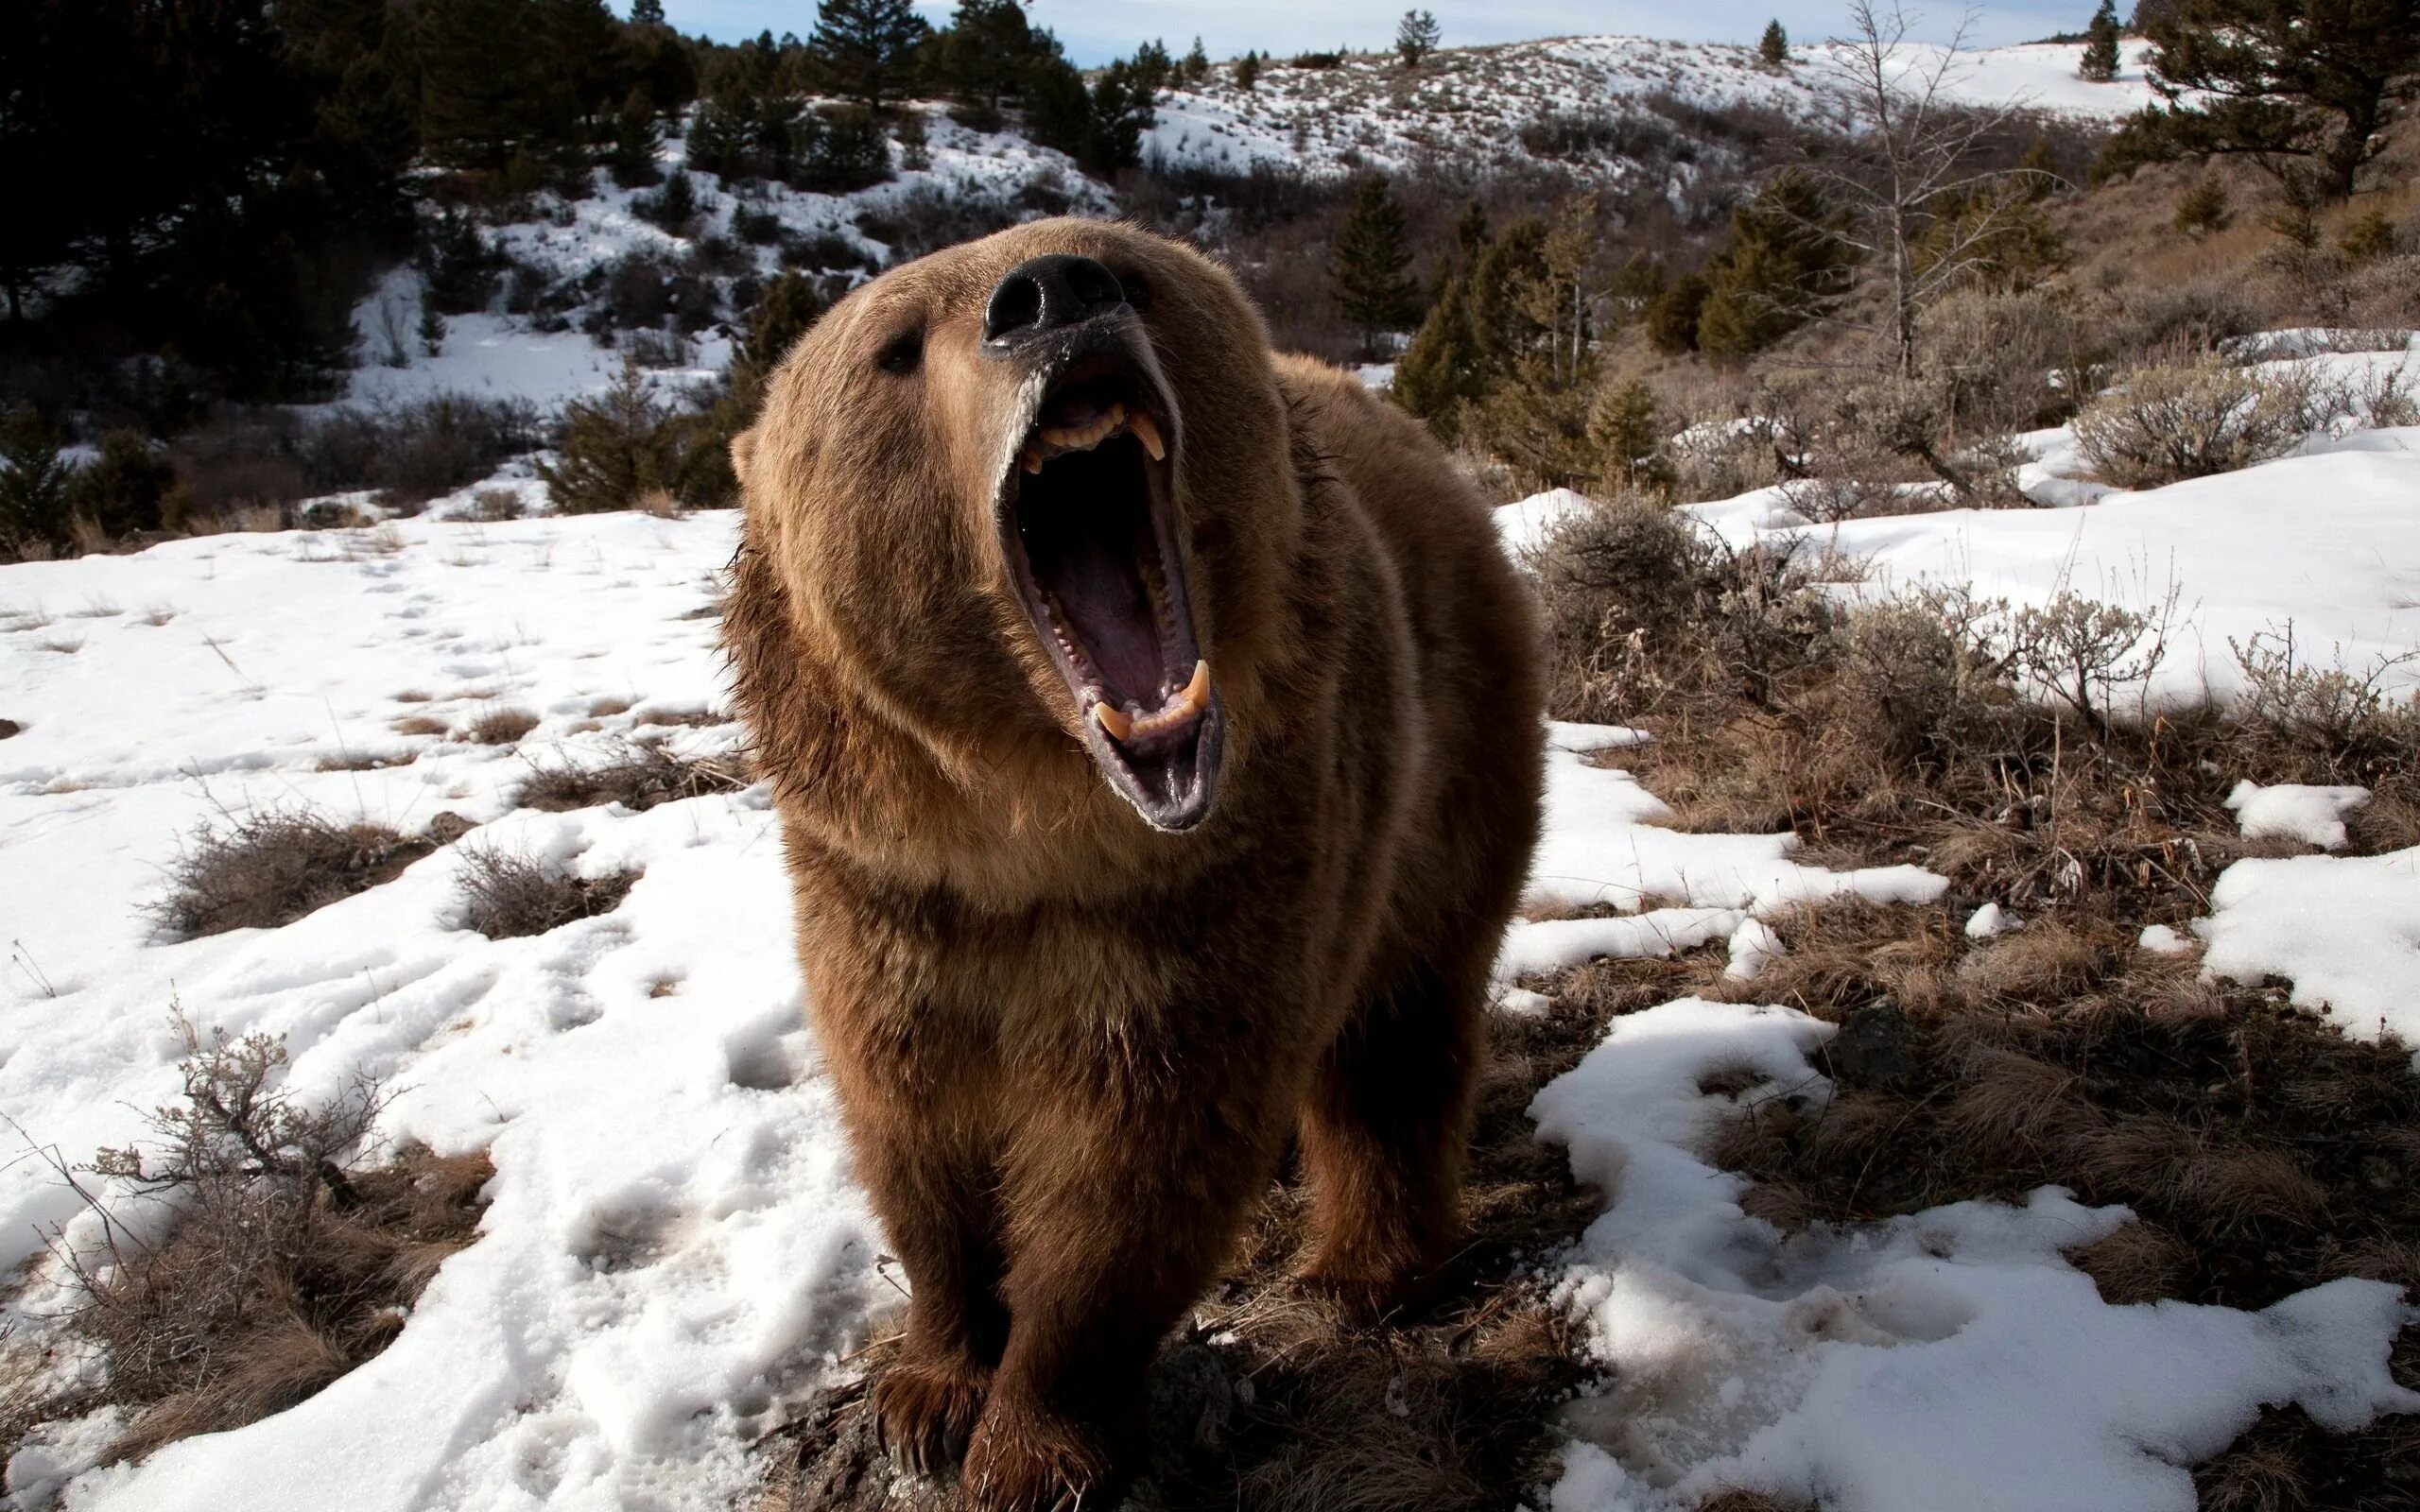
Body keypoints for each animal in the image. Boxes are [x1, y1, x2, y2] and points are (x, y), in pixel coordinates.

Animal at [726, 217, 1539, 1500]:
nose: (1052, 295)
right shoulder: (886, 893)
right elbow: (913, 1127)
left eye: (1126, 267)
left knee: (1397, 1029)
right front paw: (928, 1387)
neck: (1033, 831)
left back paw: (1362, 1269)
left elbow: (1134, 1161)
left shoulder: (1201, 892)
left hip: (1446, 759)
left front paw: (1032, 1443)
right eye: (893, 347)